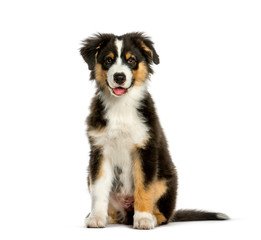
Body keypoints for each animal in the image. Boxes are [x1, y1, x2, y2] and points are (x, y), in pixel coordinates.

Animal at [79, 31, 228, 229]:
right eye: (108, 60)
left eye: (132, 60)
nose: (119, 77)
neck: (121, 107)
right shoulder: (99, 151)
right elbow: (99, 188)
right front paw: (97, 217)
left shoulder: (146, 149)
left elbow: (144, 187)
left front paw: (143, 218)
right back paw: (109, 217)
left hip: (166, 181)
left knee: (165, 214)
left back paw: (152, 217)